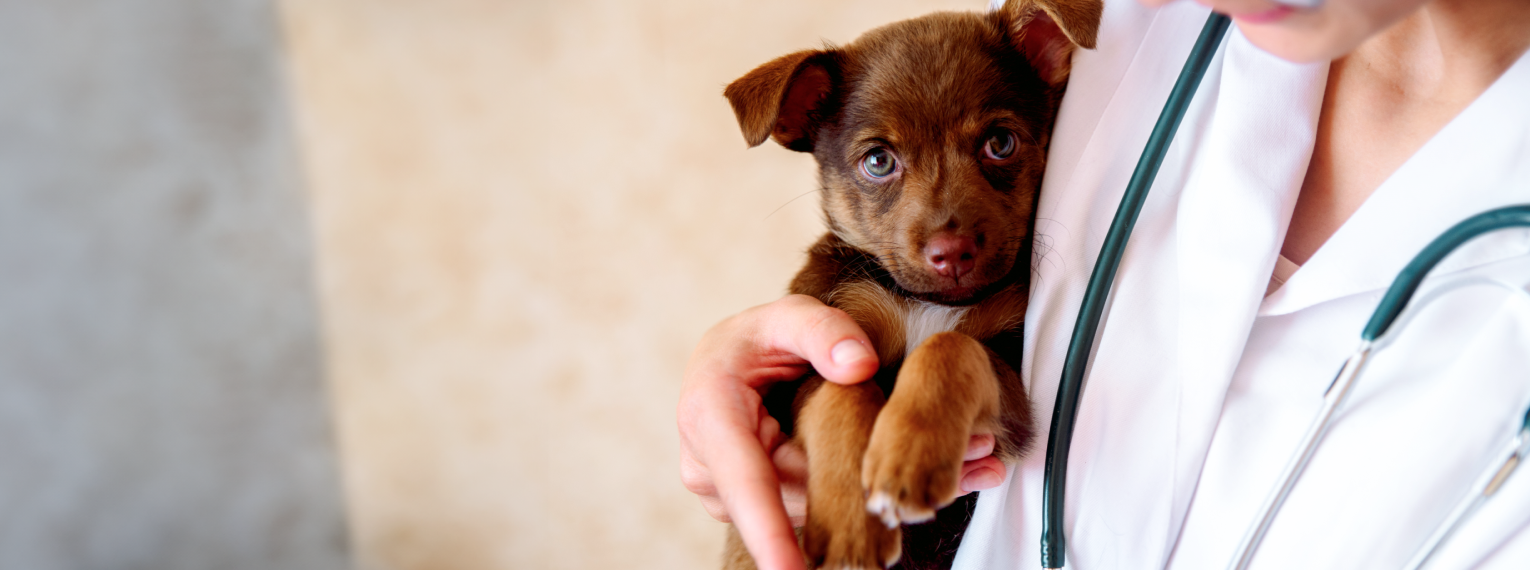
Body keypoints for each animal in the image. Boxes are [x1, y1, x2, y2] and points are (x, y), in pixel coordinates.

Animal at [719, 2, 1095, 565]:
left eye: (1000, 143)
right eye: (878, 161)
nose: (952, 253)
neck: (924, 301)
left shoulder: (1013, 395)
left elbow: (951, 345)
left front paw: (909, 455)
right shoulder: (822, 352)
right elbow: (844, 389)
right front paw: (853, 521)